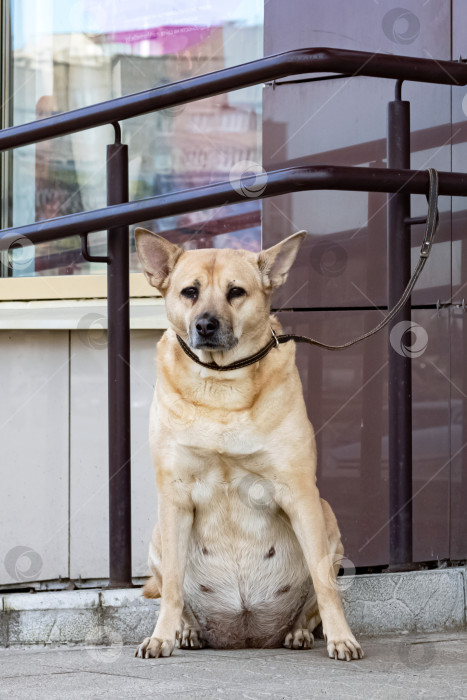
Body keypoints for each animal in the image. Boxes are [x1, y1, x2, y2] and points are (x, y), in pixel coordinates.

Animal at [133, 230, 364, 660]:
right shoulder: (174, 496)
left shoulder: (300, 493)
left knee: (312, 598)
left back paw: (299, 632)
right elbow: (171, 586)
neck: (222, 381)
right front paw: (162, 636)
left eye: (236, 292)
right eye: (190, 292)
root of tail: (245, 632)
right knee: (176, 591)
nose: (206, 324)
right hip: (159, 531)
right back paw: (187, 632)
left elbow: (325, 585)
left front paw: (341, 637)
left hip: (326, 517)